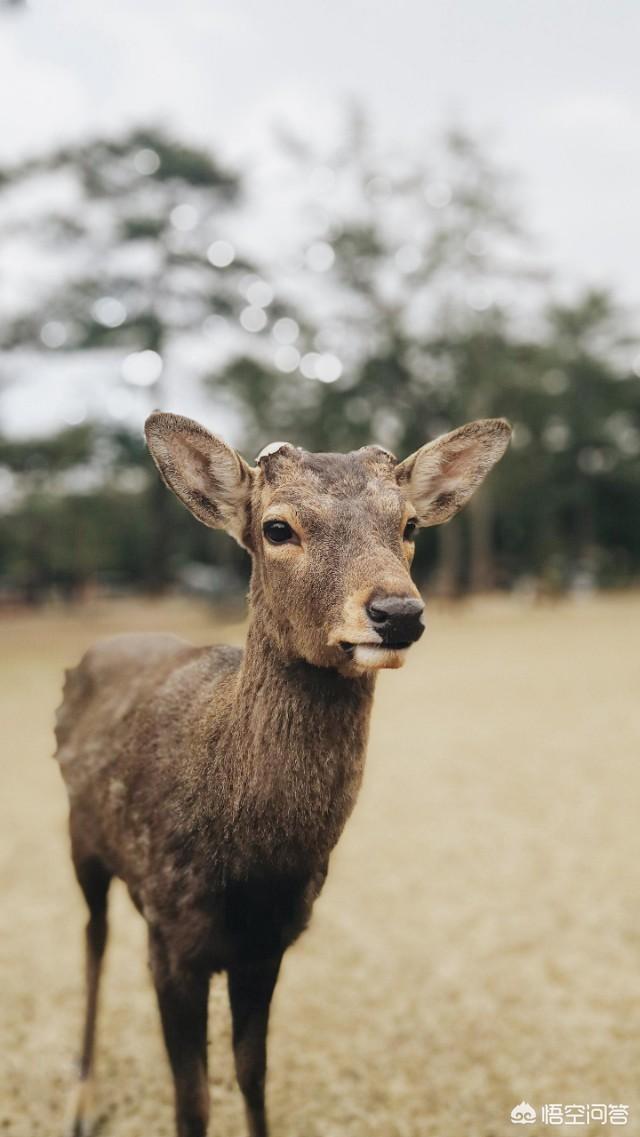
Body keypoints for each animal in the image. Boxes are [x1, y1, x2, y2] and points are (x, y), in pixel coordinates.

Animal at [57, 411, 513, 1137]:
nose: (397, 612)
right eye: (277, 528)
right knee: (92, 943)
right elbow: (192, 1100)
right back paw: (83, 1098)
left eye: (409, 524)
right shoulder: (172, 941)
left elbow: (252, 1073)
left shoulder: (269, 942)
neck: (249, 867)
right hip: (81, 836)